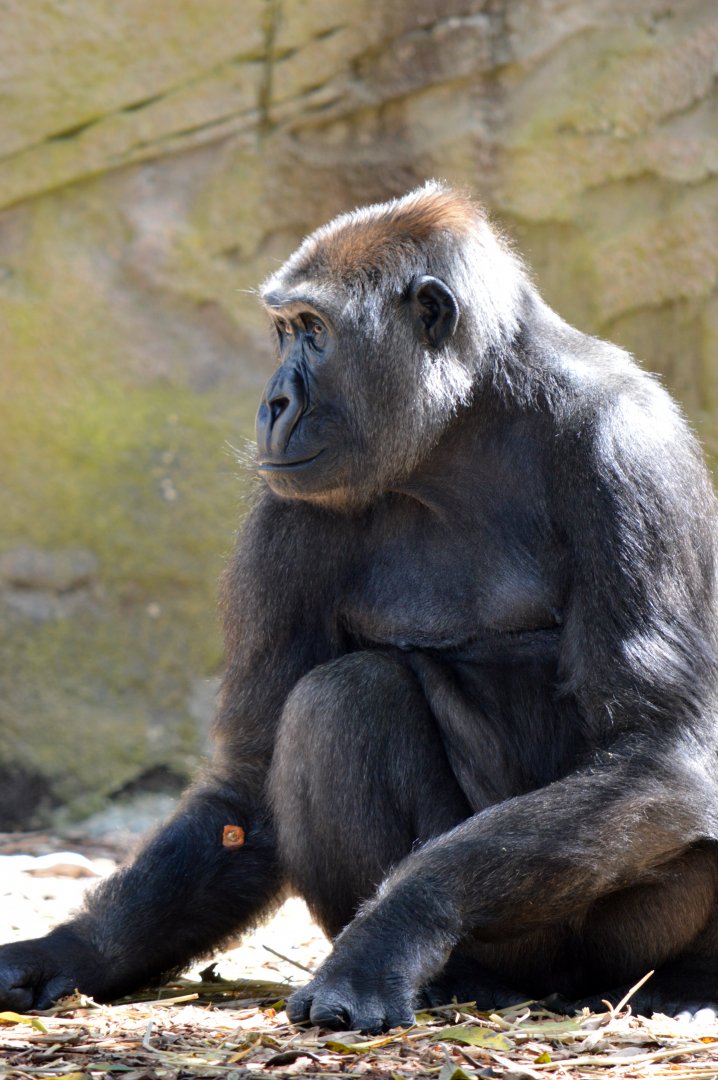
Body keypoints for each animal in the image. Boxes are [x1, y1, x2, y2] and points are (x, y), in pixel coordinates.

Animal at [1, 182, 718, 1031]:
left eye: (313, 332)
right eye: (284, 331)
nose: (273, 403)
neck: (469, 417)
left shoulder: (627, 446)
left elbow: (655, 746)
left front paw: (393, 929)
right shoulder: (290, 505)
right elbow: (246, 786)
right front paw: (75, 947)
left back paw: (685, 979)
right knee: (342, 700)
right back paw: (470, 981)